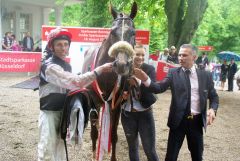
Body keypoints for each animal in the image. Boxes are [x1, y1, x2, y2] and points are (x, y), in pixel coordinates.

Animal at [60, 1, 138, 161]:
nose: (121, 65)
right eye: (112, 32)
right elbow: (95, 133)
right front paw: (93, 154)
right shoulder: (94, 102)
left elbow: (113, 134)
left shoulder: (116, 104)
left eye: (133, 33)